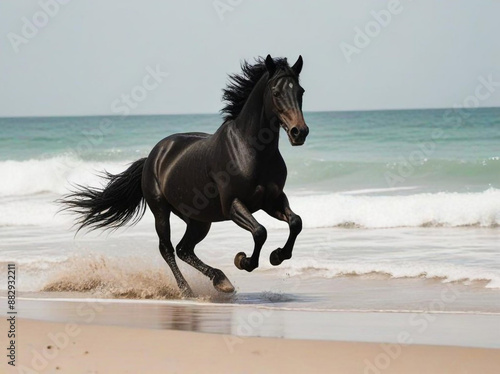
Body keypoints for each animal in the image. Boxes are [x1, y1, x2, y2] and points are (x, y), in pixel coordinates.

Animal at [62, 55, 308, 296]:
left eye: (300, 91)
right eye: (276, 93)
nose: (300, 132)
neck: (250, 149)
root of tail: (153, 156)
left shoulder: (272, 200)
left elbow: (296, 222)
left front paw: (277, 256)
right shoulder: (233, 204)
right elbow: (260, 231)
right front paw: (243, 261)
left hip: (199, 220)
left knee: (184, 249)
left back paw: (221, 281)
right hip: (161, 211)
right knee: (168, 249)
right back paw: (187, 290)